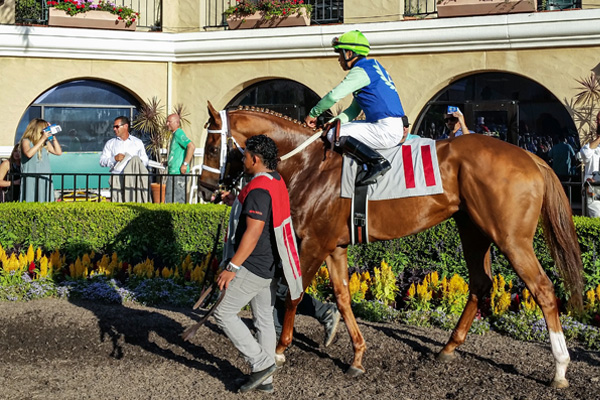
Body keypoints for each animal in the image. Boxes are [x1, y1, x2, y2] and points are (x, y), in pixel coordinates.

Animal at [200, 103, 580, 388]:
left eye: (212, 146)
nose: (205, 188)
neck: (309, 166)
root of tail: (532, 158)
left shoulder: (314, 242)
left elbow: (293, 292)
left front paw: (279, 351)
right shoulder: (335, 246)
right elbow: (342, 297)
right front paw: (356, 356)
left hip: (511, 238)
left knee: (544, 290)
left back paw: (561, 368)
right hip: (474, 229)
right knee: (481, 283)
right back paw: (448, 347)